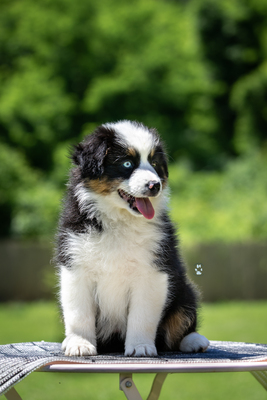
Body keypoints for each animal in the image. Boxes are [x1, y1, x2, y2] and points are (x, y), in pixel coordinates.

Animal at [56, 119, 210, 356]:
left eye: (154, 163)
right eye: (127, 164)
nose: (154, 185)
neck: (120, 219)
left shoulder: (152, 271)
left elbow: (142, 316)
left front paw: (140, 347)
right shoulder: (76, 264)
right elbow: (78, 313)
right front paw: (79, 343)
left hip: (184, 290)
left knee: (181, 321)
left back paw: (194, 340)